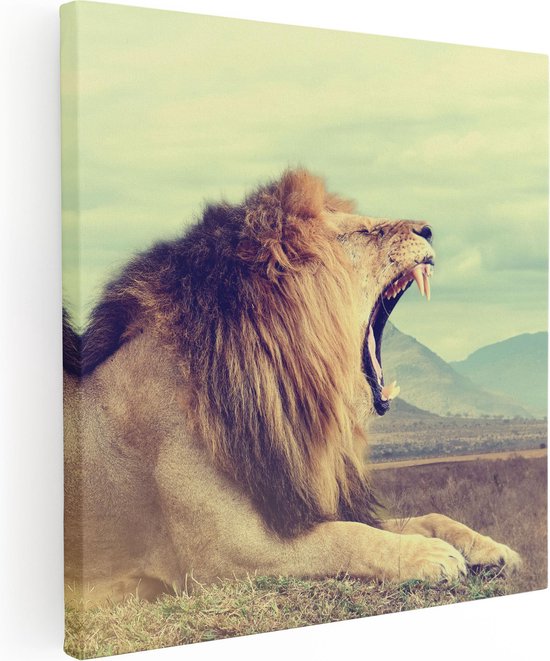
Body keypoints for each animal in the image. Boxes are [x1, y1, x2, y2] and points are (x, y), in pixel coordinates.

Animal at [63, 169, 520, 605]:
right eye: (362, 232)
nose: (427, 229)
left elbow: (425, 519)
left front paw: (492, 548)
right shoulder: (221, 556)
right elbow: (347, 537)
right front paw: (431, 555)